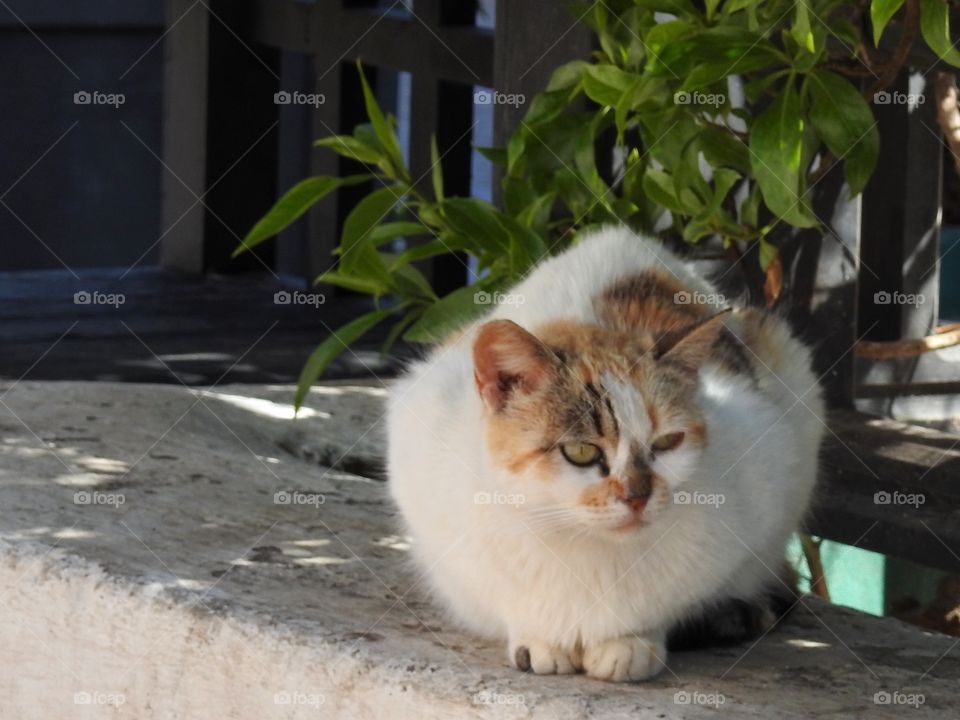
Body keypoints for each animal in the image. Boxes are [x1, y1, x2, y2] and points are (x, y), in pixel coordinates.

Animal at [386, 228, 820, 684]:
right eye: (581, 451)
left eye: (667, 443)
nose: (637, 496)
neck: (581, 548)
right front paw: (539, 639)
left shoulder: (768, 458)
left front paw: (631, 642)